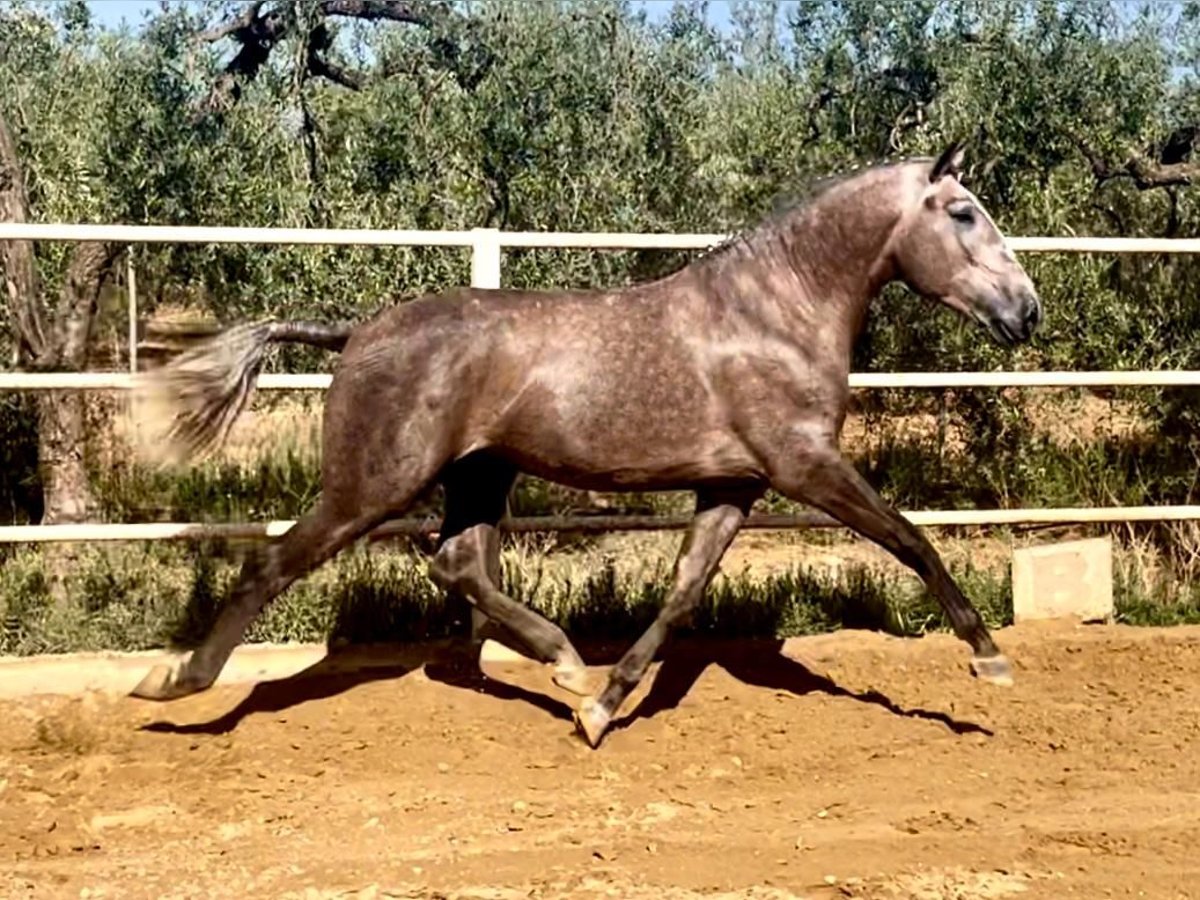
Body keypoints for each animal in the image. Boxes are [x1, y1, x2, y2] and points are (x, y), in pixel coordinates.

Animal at [124, 139, 1041, 748]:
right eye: (964, 213)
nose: (1026, 311)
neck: (773, 313)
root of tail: (357, 334)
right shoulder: (805, 465)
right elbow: (912, 540)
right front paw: (989, 660)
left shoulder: (735, 486)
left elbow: (682, 592)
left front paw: (600, 708)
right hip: (371, 484)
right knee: (277, 563)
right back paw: (173, 682)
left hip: (479, 477)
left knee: (456, 564)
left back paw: (563, 661)